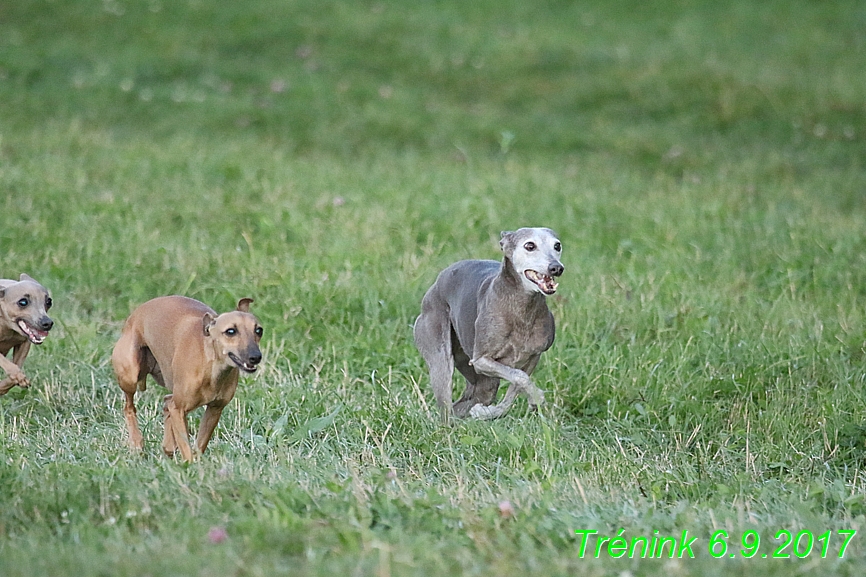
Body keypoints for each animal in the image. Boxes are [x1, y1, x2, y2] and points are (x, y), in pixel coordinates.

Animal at [113, 294, 264, 462]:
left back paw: (168, 446)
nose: (255, 357)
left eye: (259, 330)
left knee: (166, 401)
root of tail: (134, 314)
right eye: (230, 331)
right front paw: (190, 465)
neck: (211, 367)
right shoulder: (179, 409)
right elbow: (186, 447)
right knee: (129, 407)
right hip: (130, 375)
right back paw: (137, 444)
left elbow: (200, 444)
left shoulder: (214, 410)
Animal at [416, 227, 564, 420]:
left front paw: (489, 412)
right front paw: (536, 397)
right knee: (446, 406)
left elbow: (516, 385)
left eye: (557, 245)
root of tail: (435, 285)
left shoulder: (533, 356)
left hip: (482, 383)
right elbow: (520, 377)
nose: (556, 267)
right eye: (530, 246)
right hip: (441, 359)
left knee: (464, 404)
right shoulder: (481, 361)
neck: (521, 309)